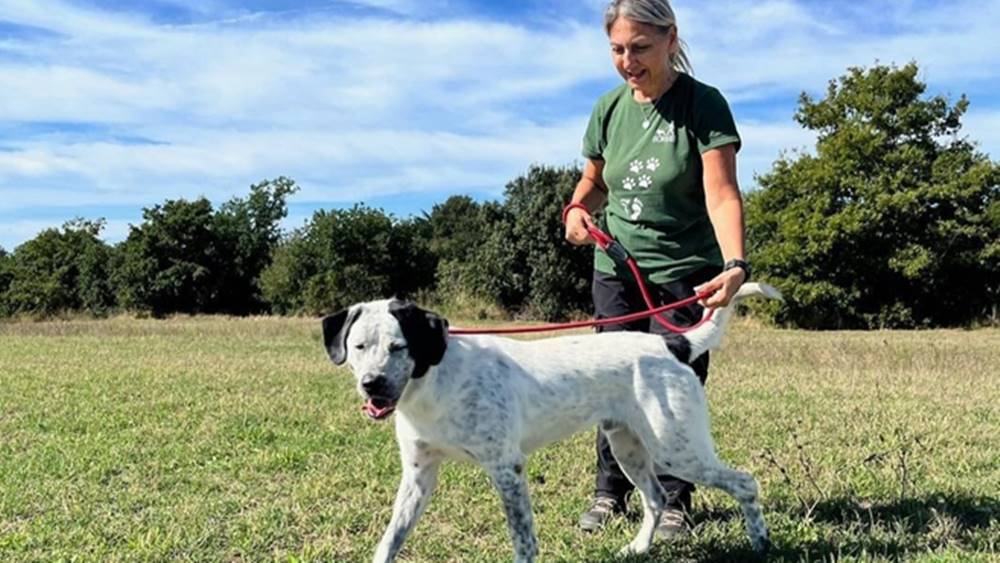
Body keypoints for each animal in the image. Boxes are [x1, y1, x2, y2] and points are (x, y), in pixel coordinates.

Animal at [320, 284, 780, 560]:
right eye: (358, 346)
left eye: (399, 347)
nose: (372, 386)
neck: (435, 382)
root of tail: (672, 343)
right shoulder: (418, 475)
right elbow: (390, 539)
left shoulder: (507, 468)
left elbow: (523, 539)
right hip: (627, 445)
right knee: (656, 497)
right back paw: (636, 548)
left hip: (677, 449)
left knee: (745, 482)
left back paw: (761, 543)